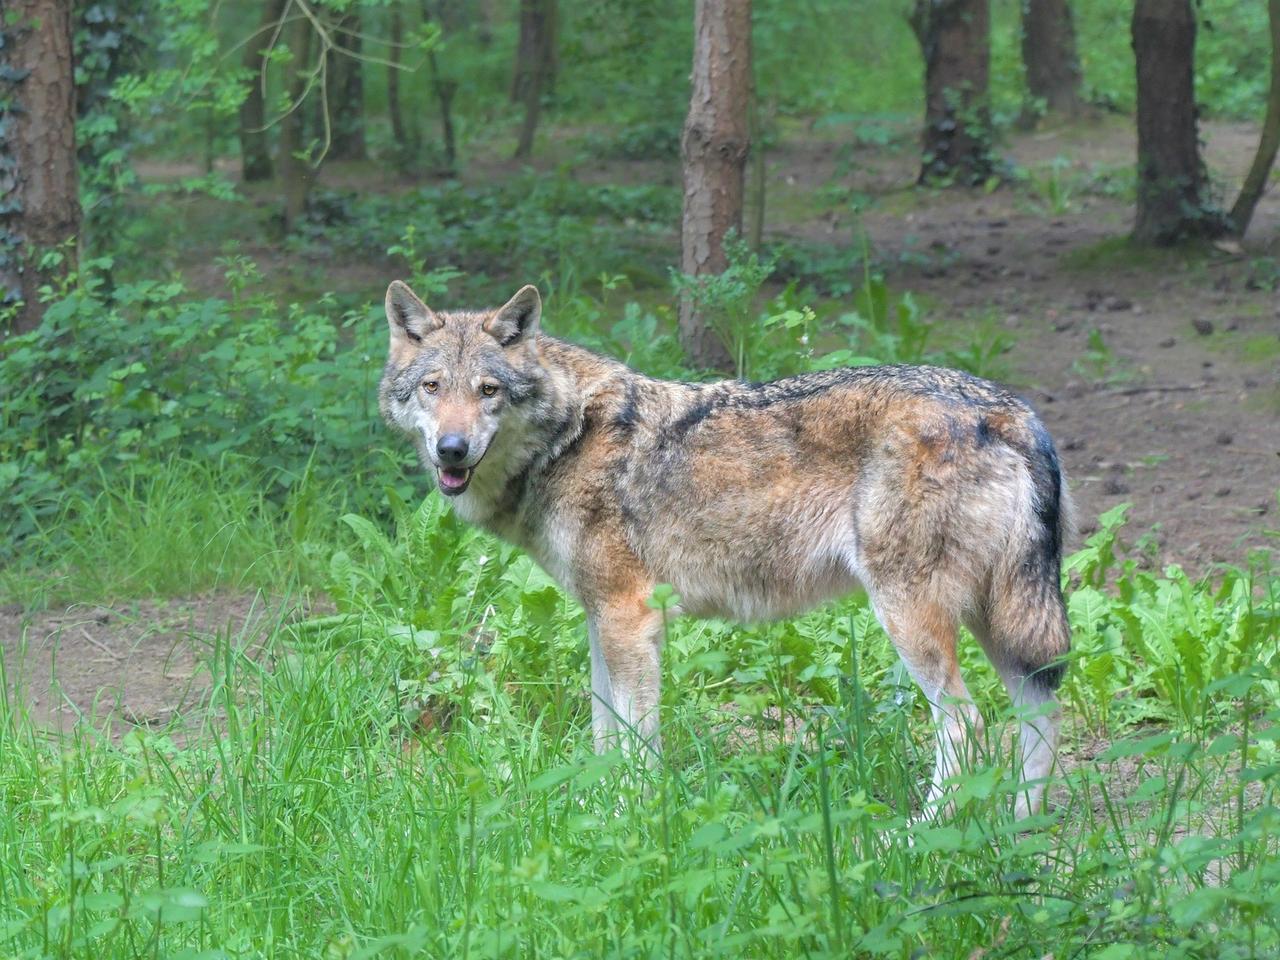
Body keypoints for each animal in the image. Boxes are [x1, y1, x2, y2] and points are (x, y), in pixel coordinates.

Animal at [376, 280, 1070, 819]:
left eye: (488, 390)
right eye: (433, 387)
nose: (452, 450)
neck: (569, 437)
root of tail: (1011, 411)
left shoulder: (631, 618)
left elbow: (636, 742)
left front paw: (632, 820)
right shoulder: (601, 620)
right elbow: (604, 736)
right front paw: (594, 817)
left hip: (912, 617)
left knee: (969, 726)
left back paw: (916, 837)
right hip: (999, 621)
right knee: (1039, 715)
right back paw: (1019, 831)